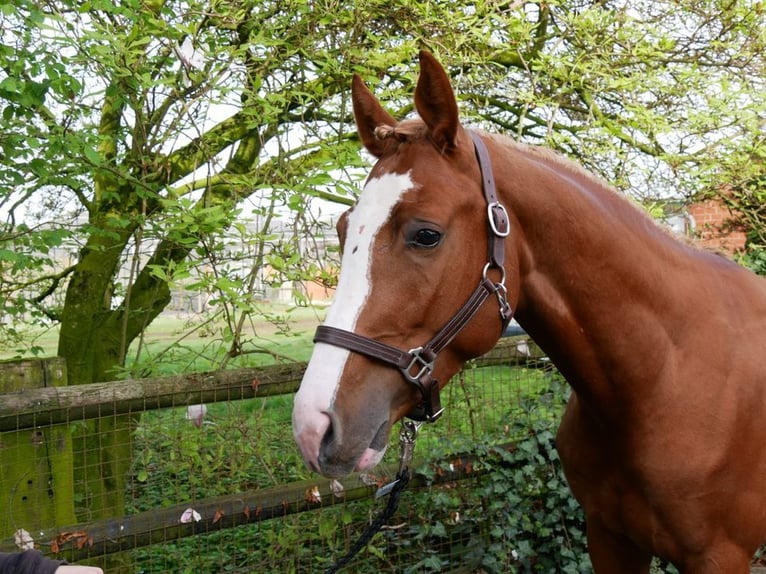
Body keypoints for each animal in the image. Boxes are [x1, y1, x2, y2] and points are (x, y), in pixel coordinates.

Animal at [292, 51, 766, 572]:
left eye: (426, 234)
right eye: (341, 229)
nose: (314, 426)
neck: (665, 374)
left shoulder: (718, 556)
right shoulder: (610, 538)